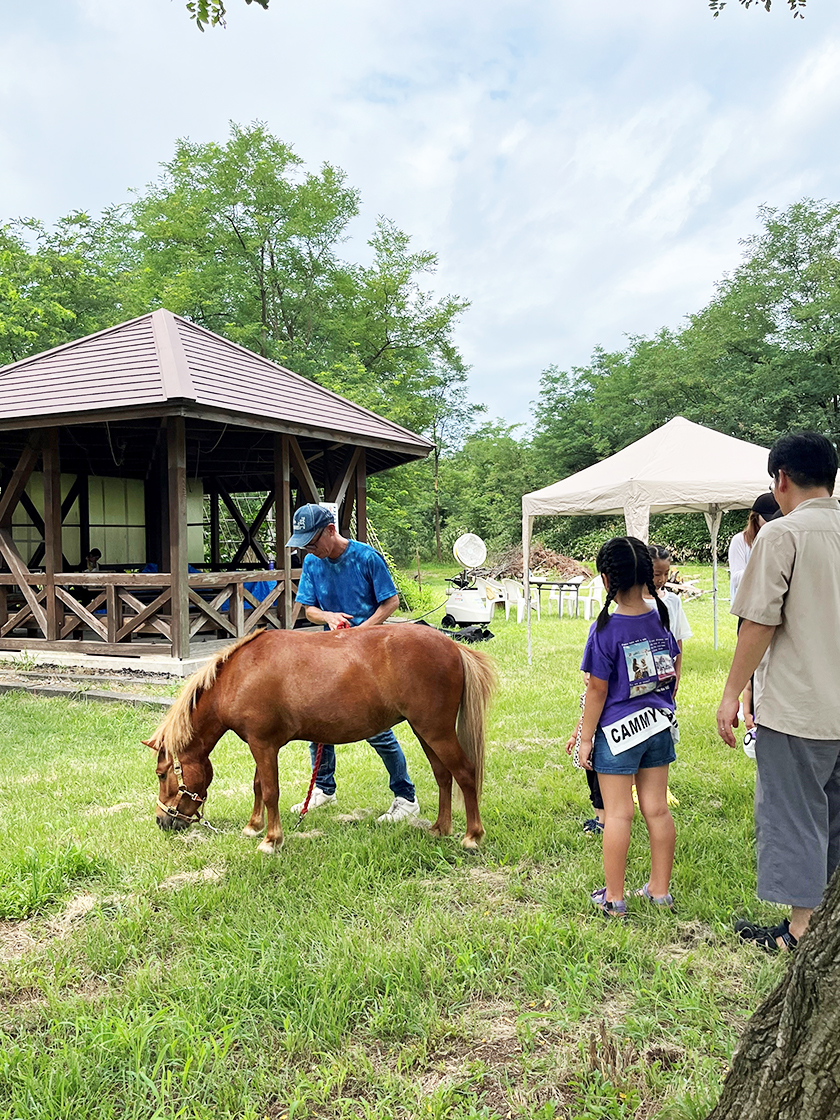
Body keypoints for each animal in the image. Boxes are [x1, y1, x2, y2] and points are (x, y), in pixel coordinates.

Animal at [146, 627, 497, 851]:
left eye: (162, 775)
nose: (162, 821)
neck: (240, 674)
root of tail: (453, 646)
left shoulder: (263, 744)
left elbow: (270, 790)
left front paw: (271, 840)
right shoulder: (260, 745)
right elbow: (259, 786)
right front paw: (254, 827)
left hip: (436, 732)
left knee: (465, 773)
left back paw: (472, 836)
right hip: (426, 732)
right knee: (444, 776)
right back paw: (440, 828)